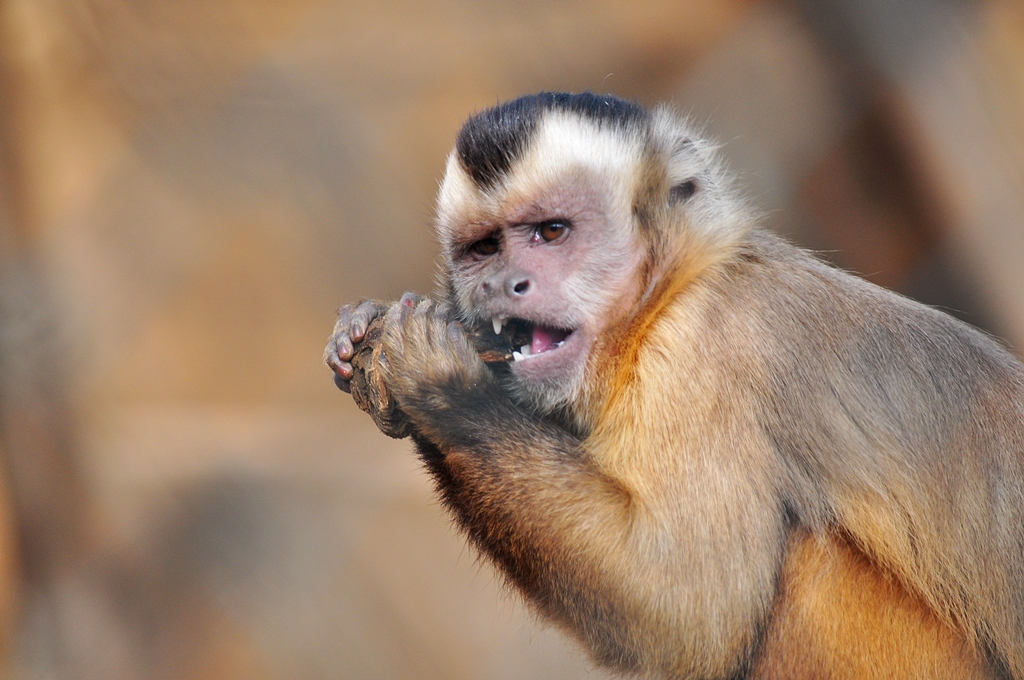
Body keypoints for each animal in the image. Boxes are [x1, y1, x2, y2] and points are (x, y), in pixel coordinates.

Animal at [324, 92, 1024, 679]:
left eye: (551, 232)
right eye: (483, 249)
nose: (503, 283)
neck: (658, 302)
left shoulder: (705, 347)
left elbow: (688, 612)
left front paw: (441, 386)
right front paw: (368, 336)